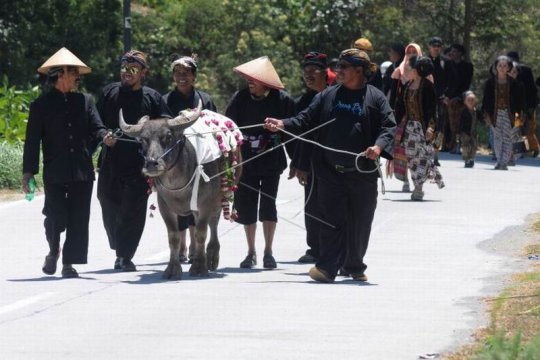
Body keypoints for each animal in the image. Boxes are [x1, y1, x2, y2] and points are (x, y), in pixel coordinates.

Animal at [119, 101, 239, 278]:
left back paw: (211, 256)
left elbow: (201, 232)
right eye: (143, 140)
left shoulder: (205, 203)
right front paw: (172, 269)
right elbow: (174, 237)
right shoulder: (165, 207)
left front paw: (199, 267)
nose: (152, 164)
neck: (176, 183)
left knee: (213, 222)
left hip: (220, 194)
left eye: (168, 136)